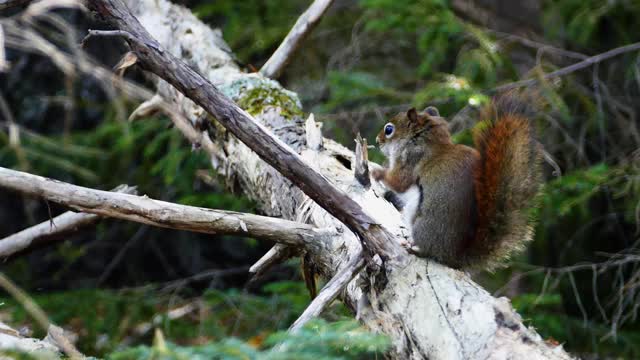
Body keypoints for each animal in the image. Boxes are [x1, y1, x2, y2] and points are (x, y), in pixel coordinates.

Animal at [372, 97, 544, 268]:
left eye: (389, 129)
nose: (377, 141)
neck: (426, 141)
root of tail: (455, 258)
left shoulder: (410, 160)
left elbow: (399, 182)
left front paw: (376, 171)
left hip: (421, 225)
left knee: (429, 252)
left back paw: (413, 248)